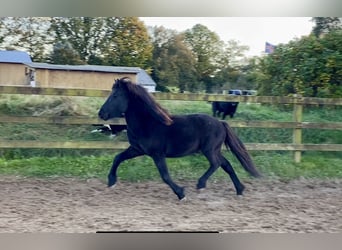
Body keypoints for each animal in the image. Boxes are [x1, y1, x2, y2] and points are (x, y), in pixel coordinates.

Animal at [97, 77, 260, 200]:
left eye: (115, 96)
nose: (101, 113)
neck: (148, 123)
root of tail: (221, 123)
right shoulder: (137, 149)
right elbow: (118, 157)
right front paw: (111, 181)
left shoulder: (157, 154)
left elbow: (165, 176)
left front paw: (181, 193)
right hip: (214, 150)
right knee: (226, 164)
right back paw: (240, 190)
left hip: (209, 150)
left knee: (216, 163)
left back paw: (201, 184)